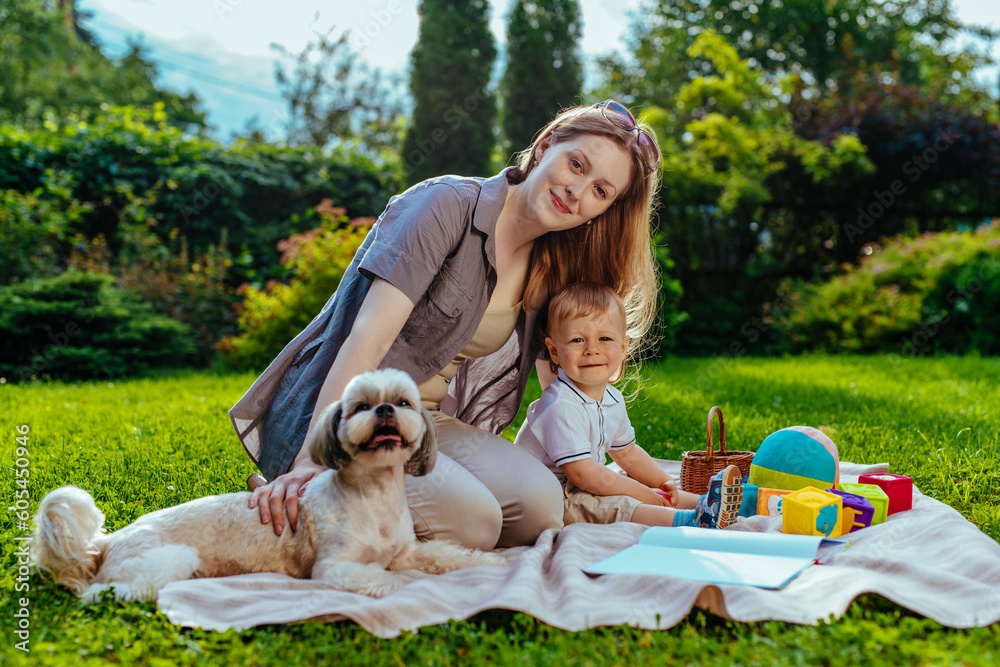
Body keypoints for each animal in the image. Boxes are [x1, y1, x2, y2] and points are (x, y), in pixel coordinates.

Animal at [32, 368, 508, 604]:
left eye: (404, 402)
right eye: (360, 407)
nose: (386, 410)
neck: (373, 497)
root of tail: (105, 543)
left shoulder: (408, 551)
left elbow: (446, 555)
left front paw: (486, 562)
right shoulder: (334, 567)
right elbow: (381, 577)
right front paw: (398, 588)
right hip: (164, 561)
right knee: (102, 593)